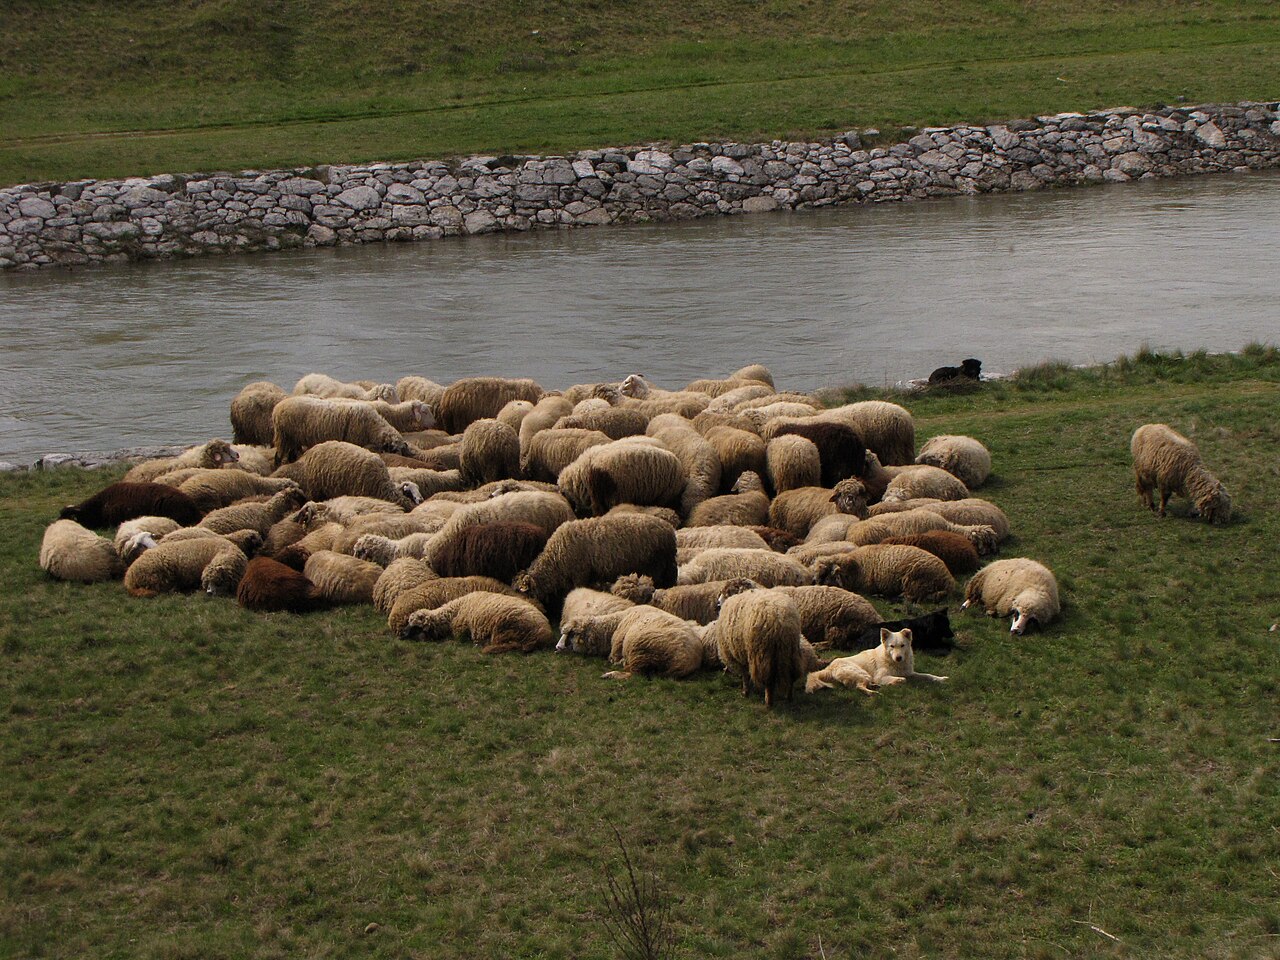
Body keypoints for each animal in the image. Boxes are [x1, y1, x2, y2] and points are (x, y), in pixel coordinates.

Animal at [271, 395, 411, 465]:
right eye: (394, 449)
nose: (399, 461)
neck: (372, 427)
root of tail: (277, 408)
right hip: (284, 435)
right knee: (278, 455)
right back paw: (277, 465)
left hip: (293, 438)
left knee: (291, 455)